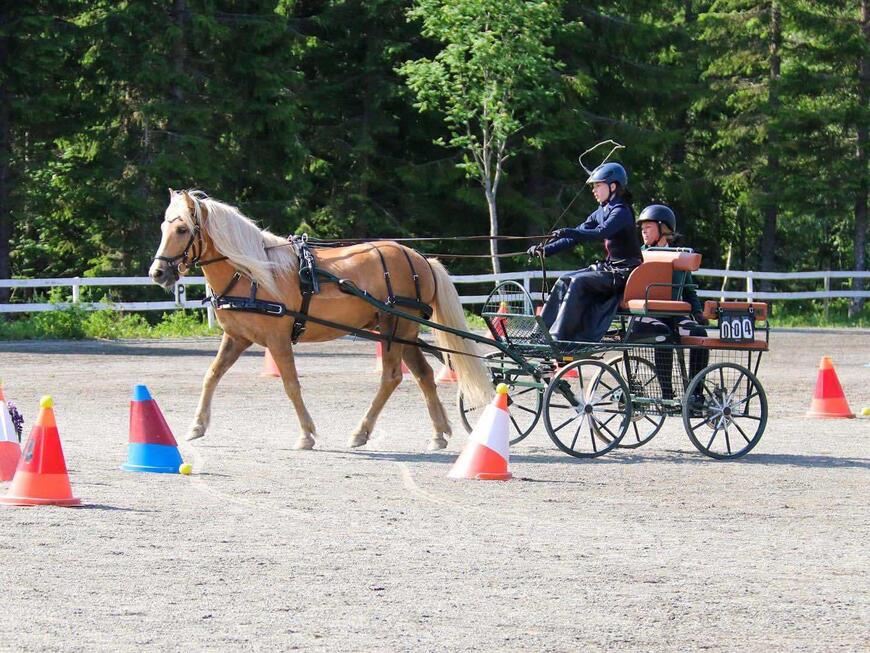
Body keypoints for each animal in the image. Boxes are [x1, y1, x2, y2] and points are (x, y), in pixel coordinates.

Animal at [146, 191, 494, 450]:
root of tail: (420, 259)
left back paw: (361, 432)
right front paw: (197, 426)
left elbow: (290, 384)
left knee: (392, 377)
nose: (157, 273)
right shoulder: (236, 337)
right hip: (403, 331)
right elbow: (211, 375)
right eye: (163, 228)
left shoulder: (277, 340)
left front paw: (306, 434)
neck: (251, 273)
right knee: (423, 375)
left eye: (181, 229)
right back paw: (438, 434)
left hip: (393, 328)